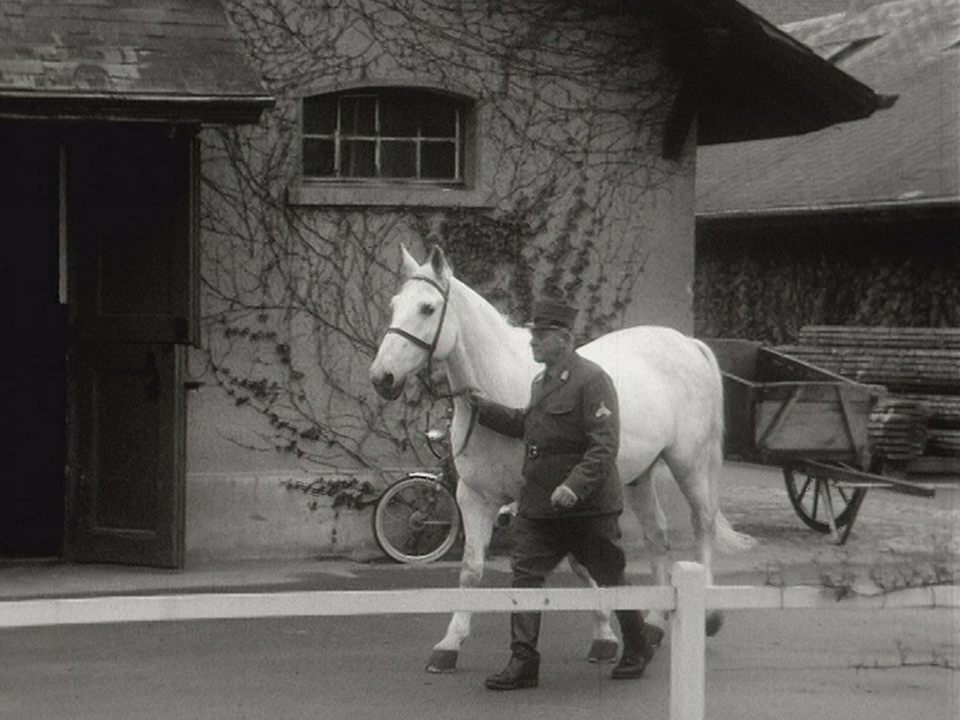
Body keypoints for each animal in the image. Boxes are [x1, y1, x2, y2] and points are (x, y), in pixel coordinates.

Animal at [372, 245, 752, 672]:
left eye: (427, 308)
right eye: (394, 305)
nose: (382, 377)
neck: (504, 386)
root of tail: (687, 342)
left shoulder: (547, 498)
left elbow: (580, 564)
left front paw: (604, 637)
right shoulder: (475, 498)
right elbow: (471, 570)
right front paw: (449, 644)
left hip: (689, 464)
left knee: (703, 525)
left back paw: (708, 615)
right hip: (639, 477)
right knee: (658, 535)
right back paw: (654, 624)